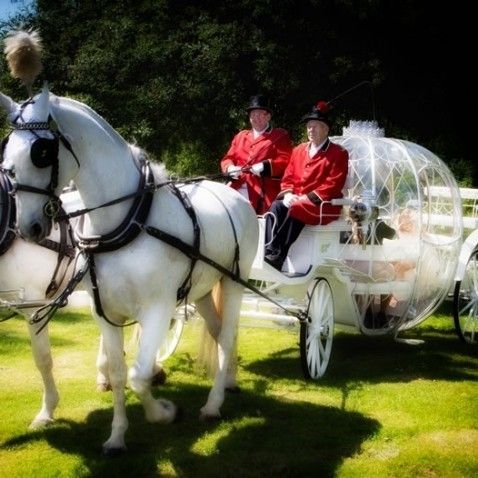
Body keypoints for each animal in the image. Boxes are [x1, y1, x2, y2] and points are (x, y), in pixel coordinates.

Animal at [0, 86, 258, 456]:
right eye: (7, 158)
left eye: (41, 154)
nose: (29, 227)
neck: (129, 221)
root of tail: (233, 194)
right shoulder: (104, 311)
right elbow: (121, 371)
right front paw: (117, 436)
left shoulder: (158, 309)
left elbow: (138, 375)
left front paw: (164, 412)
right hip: (204, 289)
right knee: (217, 329)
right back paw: (230, 381)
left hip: (234, 280)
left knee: (226, 335)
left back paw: (213, 403)